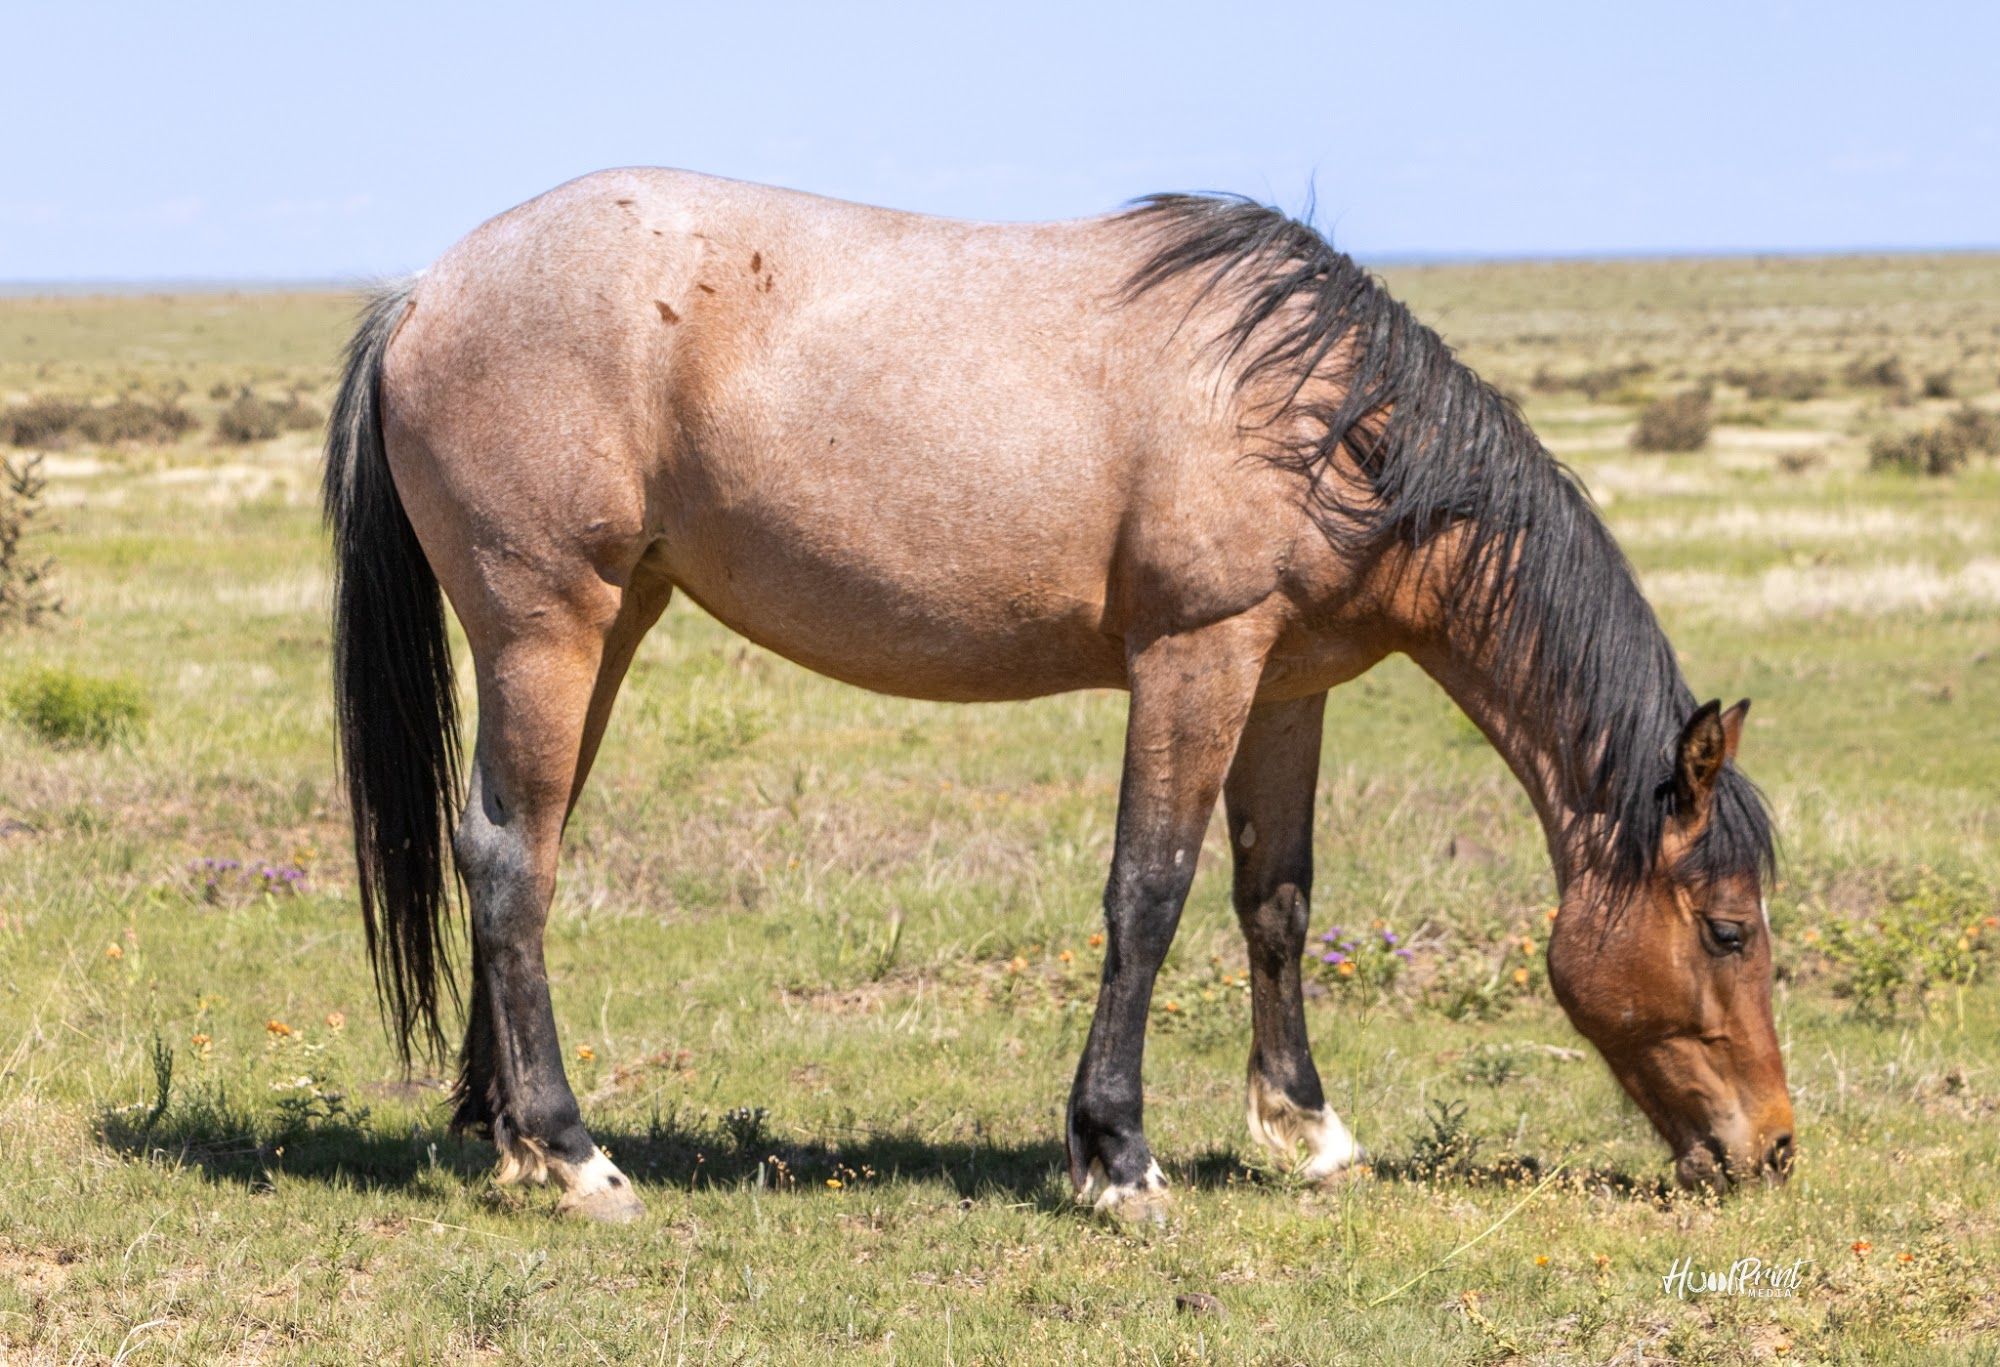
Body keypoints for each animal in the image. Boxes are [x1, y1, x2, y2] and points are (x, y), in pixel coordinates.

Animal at [322, 169, 1792, 1223]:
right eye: (1726, 928)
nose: (1772, 1145)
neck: (1329, 425)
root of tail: (425, 293)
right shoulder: (1195, 657)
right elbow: (1149, 891)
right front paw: (1117, 1155)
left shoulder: (1284, 687)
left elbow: (1275, 898)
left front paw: (1307, 1131)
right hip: (546, 625)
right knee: (509, 859)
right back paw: (574, 1155)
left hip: (603, 623)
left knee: (519, 848)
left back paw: (506, 1133)